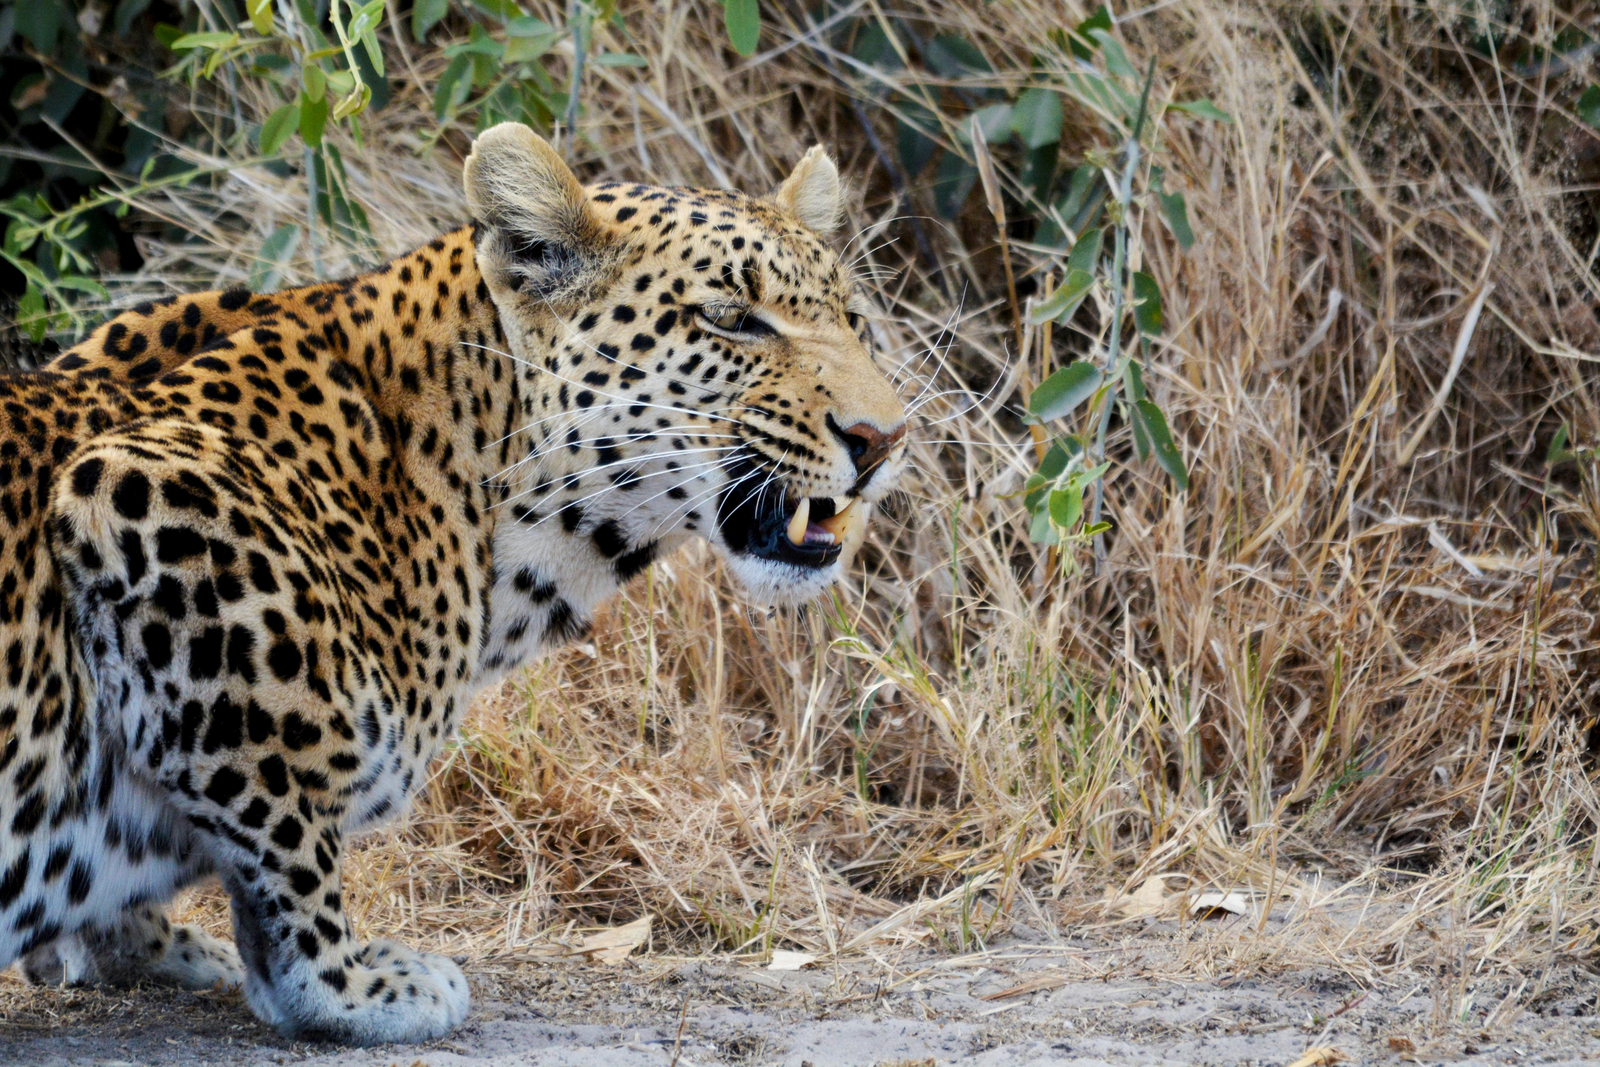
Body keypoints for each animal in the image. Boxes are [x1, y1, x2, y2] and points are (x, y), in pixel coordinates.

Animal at [0, 123, 907, 1045]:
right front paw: (346, 986)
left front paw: (142, 947)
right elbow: (287, 818)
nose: (884, 437)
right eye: (730, 320)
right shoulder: (134, 489)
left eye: (851, 319)